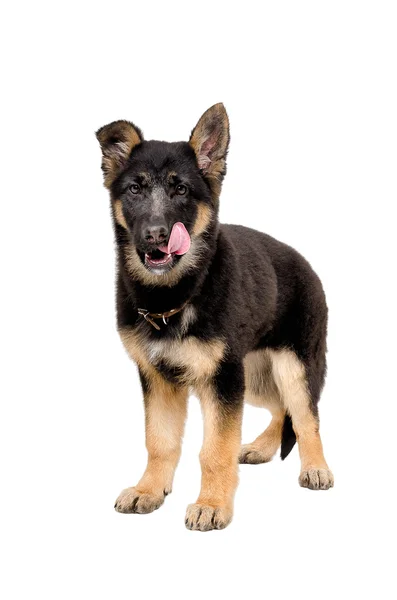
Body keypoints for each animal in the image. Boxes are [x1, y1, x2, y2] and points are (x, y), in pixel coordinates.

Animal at [96, 105, 334, 532]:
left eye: (181, 190)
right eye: (135, 190)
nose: (156, 235)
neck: (176, 296)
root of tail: (306, 263)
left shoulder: (221, 381)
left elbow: (215, 449)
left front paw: (212, 504)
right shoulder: (159, 380)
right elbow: (159, 441)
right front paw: (149, 490)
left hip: (290, 367)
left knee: (306, 415)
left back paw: (316, 467)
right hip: (254, 375)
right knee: (281, 409)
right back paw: (260, 447)